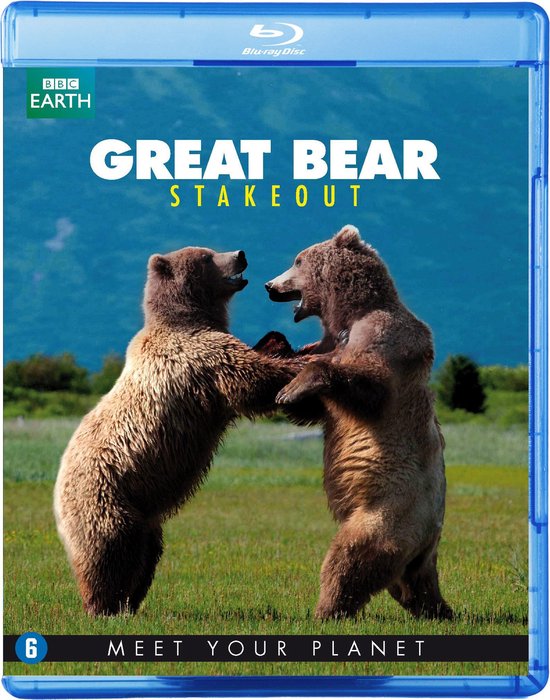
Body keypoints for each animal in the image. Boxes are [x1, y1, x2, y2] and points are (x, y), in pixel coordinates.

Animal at [54, 245, 302, 616]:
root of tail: (56, 494)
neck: (189, 318)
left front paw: (278, 341)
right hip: (104, 498)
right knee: (110, 551)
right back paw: (104, 605)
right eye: (206, 257)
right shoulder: (198, 357)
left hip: (143, 514)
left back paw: (130, 602)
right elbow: (250, 379)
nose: (240, 253)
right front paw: (300, 363)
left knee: (146, 553)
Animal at [261, 225, 453, 621]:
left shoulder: (386, 339)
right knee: (410, 586)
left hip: (389, 514)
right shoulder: (327, 344)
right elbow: (317, 405)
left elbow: (368, 385)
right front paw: (280, 366)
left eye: (297, 260)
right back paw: (440, 609)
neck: (346, 318)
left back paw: (326, 609)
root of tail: (429, 543)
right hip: (411, 551)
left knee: (351, 557)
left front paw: (291, 388)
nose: (270, 285)